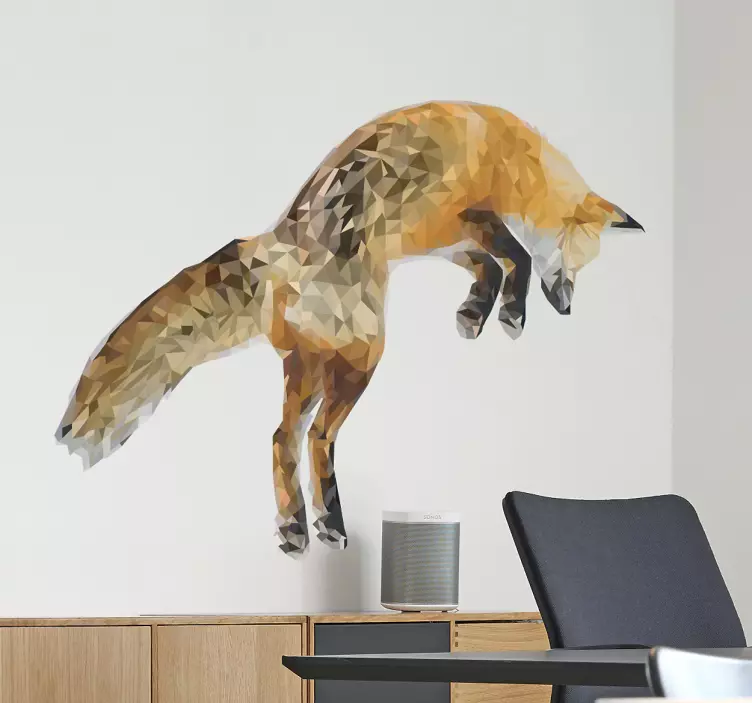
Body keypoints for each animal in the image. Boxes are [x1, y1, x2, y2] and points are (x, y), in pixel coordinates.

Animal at [55, 101, 643, 554]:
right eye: (577, 263)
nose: (566, 311)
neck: (514, 161)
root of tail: (275, 249)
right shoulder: (461, 219)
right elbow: (514, 254)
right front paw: (511, 313)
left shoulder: (444, 242)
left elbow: (492, 267)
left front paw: (476, 312)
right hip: (362, 360)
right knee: (316, 436)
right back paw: (324, 521)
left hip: (312, 365)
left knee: (283, 436)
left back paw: (298, 525)